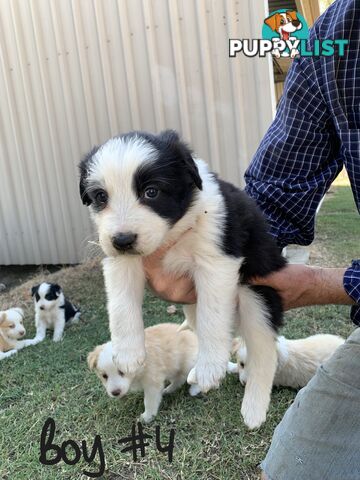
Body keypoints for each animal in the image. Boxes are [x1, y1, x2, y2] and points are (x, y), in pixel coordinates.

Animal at [79, 129, 286, 430]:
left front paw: (211, 367)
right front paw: (128, 353)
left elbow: (214, 316)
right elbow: (121, 306)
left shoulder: (217, 260)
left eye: (151, 192)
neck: (172, 234)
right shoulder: (119, 262)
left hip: (256, 292)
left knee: (263, 350)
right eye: (100, 197)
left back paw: (253, 408)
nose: (123, 240)